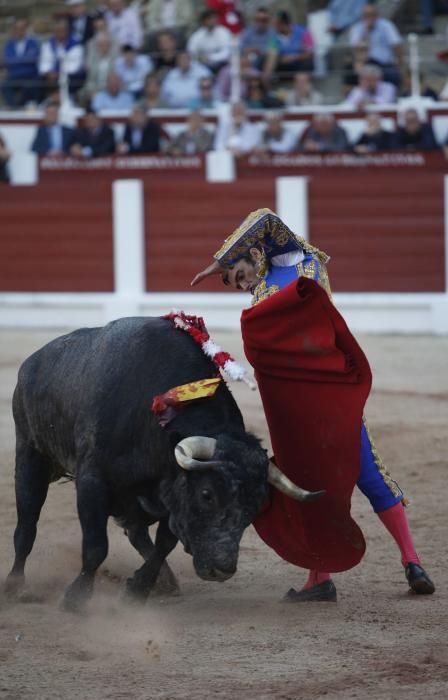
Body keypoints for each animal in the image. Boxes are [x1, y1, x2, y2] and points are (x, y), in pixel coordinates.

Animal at [5, 314, 320, 608]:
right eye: (207, 494)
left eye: (256, 506)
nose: (222, 569)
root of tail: (31, 364)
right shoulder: (92, 481)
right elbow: (96, 545)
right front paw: (76, 598)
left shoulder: (171, 496)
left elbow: (163, 544)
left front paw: (137, 589)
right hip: (30, 456)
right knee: (27, 525)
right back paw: (15, 585)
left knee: (136, 533)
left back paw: (166, 582)